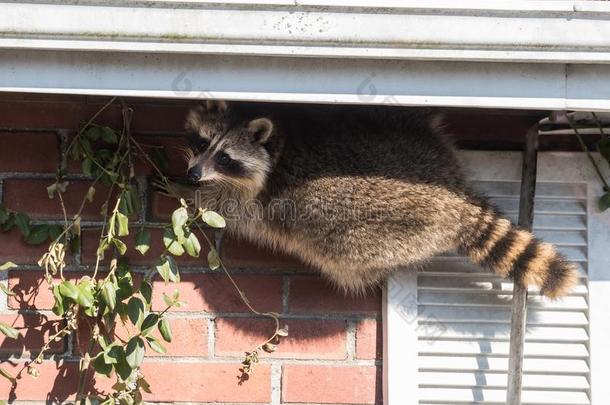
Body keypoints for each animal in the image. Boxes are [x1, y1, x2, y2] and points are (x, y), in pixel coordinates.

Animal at [157, 100, 576, 296]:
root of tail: (455, 200)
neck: (277, 140)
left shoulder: (258, 198)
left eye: (226, 157)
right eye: (202, 142)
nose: (193, 174)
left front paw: (185, 191)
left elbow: (226, 210)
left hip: (370, 228)